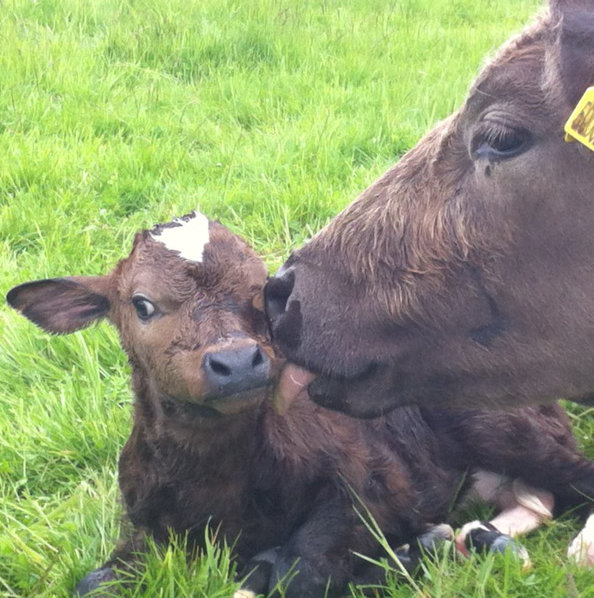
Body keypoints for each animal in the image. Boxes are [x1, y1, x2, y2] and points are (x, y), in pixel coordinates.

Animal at [3, 213, 592, 596]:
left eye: (261, 292)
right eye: (141, 304)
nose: (236, 361)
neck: (217, 481)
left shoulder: (368, 484)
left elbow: (298, 571)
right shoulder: (142, 522)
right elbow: (91, 583)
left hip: (508, 429)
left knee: (575, 479)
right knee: (536, 501)